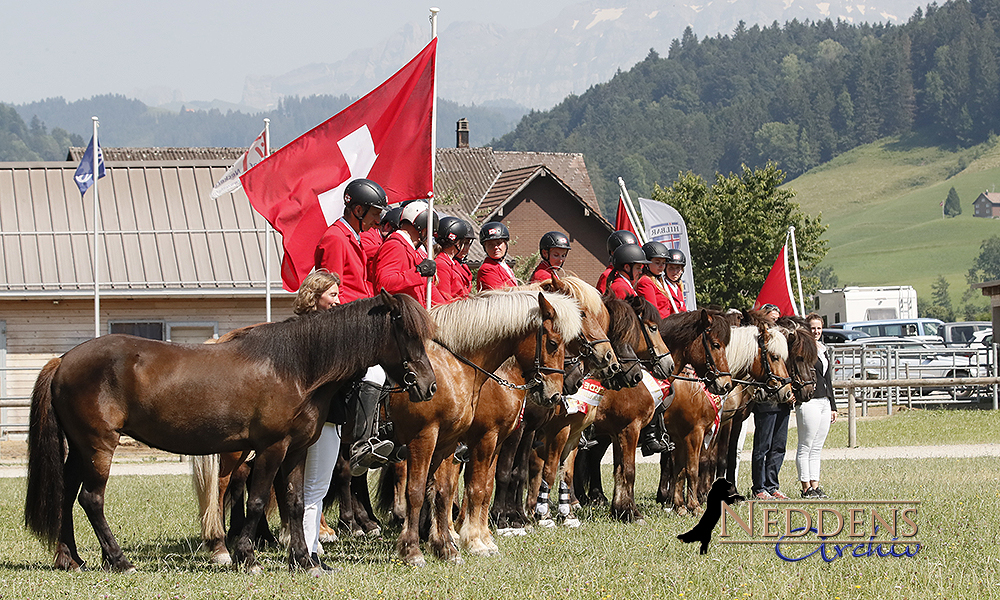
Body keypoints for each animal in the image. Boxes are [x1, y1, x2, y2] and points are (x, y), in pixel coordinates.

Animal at [22, 292, 438, 576]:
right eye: (407, 333)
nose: (428, 386)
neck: (296, 366)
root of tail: (63, 361)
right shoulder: (271, 448)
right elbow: (257, 501)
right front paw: (247, 556)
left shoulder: (296, 450)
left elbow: (294, 502)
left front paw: (303, 561)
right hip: (99, 446)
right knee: (91, 499)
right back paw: (119, 560)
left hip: (80, 449)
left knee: (66, 494)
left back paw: (70, 558)